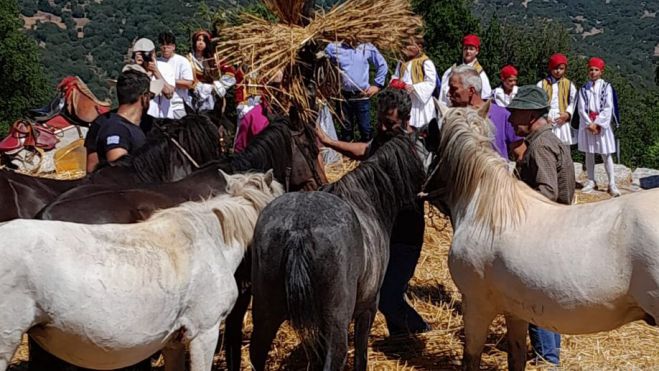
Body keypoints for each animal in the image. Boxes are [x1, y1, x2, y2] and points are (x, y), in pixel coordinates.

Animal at [248, 135, 422, 370]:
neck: (367, 202)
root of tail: (299, 228)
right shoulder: (368, 307)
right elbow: (360, 353)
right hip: (336, 322)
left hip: (266, 313)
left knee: (257, 353)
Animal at [422, 103, 659, 370]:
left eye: (430, 135)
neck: (486, 207)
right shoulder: (515, 312)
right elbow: (516, 358)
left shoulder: (475, 305)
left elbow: (471, 360)